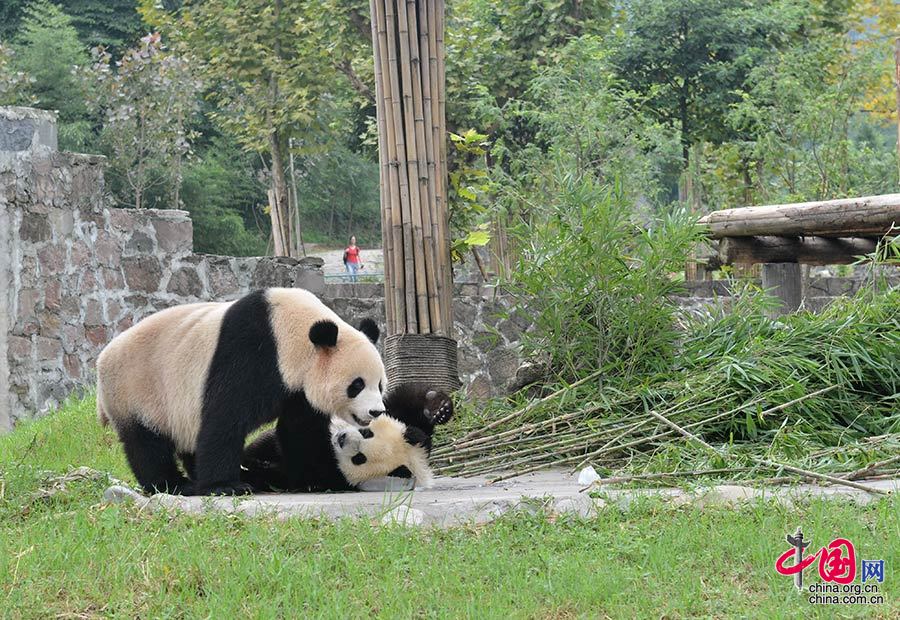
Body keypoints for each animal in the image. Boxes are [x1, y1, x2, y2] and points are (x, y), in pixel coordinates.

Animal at [97, 288, 386, 496]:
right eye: (357, 385)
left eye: (380, 384)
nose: (376, 411)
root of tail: (103, 358)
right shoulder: (252, 353)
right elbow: (225, 417)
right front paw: (226, 486)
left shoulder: (299, 390)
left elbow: (300, 430)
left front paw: (319, 478)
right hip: (137, 390)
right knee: (147, 443)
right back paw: (175, 484)